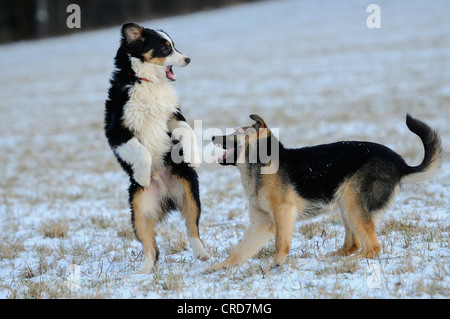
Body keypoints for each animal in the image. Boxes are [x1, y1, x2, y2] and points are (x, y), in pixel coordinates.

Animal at [104, 23, 210, 276]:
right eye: (165, 47)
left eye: (174, 45)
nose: (188, 59)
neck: (148, 82)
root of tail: (166, 194)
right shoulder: (116, 131)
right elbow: (140, 151)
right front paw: (143, 175)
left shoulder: (173, 116)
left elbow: (187, 130)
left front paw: (193, 156)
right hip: (138, 208)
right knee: (150, 245)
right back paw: (142, 271)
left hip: (189, 190)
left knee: (192, 227)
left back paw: (201, 254)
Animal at [209, 114, 442, 270]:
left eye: (236, 133)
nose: (212, 136)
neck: (261, 164)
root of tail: (401, 164)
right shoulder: (262, 223)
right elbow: (239, 251)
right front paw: (218, 268)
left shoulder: (283, 213)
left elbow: (280, 243)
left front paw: (275, 265)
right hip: (347, 206)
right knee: (353, 243)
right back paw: (333, 258)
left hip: (353, 205)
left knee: (372, 247)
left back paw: (346, 262)